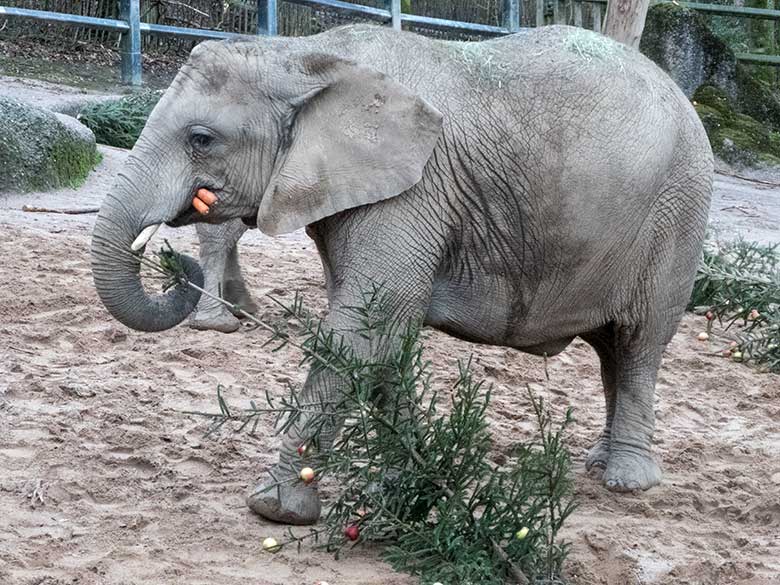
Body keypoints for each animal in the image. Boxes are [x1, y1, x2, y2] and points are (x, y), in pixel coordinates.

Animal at [90, 24, 712, 524]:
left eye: (202, 140)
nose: (173, 264)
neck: (302, 57)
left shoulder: (412, 191)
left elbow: (365, 326)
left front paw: (276, 509)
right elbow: (384, 335)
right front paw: (411, 484)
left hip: (677, 217)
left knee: (638, 343)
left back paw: (627, 481)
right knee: (612, 351)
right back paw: (600, 464)